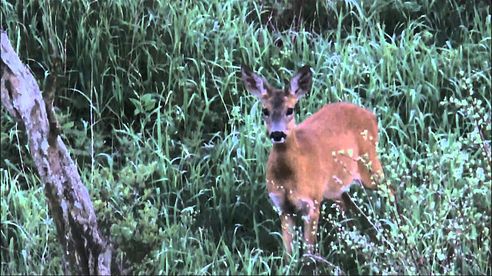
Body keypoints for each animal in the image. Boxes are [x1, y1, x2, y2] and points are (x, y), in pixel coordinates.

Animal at [241, 64, 384, 258]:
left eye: (290, 110)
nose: (277, 134)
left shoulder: (312, 203)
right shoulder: (282, 206)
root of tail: (372, 116)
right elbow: (288, 254)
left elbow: (309, 252)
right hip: (335, 185)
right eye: (265, 111)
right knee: (345, 203)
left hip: (370, 165)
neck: (290, 177)